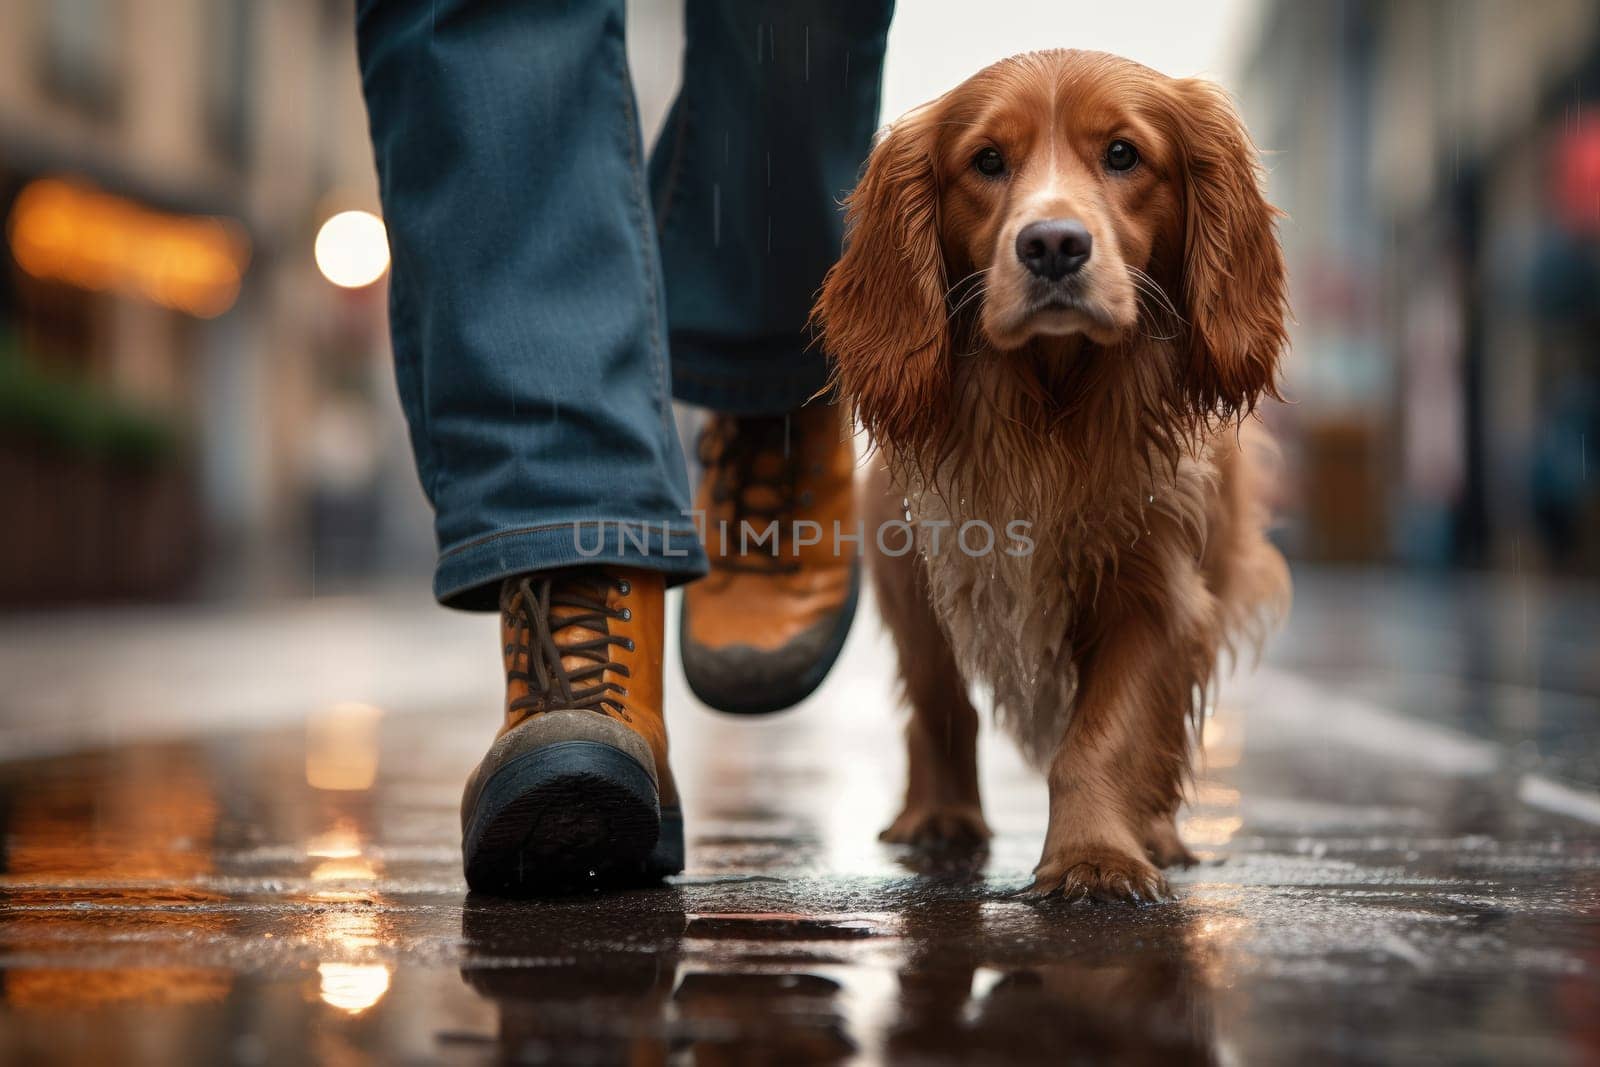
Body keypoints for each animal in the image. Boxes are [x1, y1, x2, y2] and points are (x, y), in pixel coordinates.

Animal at [819, 47, 1292, 902]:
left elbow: (1108, 733)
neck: (1054, 397)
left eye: (1123, 154)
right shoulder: (928, 565)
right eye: (987, 161)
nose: (1052, 244)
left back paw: (1159, 830)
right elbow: (941, 704)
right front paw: (956, 816)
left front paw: (1096, 856)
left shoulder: (1156, 588)